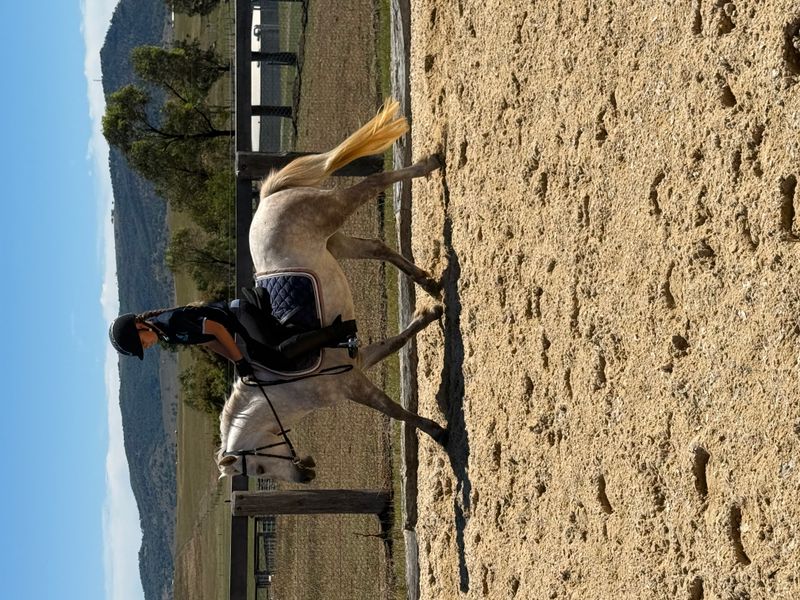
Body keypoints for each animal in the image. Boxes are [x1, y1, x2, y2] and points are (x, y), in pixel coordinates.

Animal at [216, 100, 446, 483]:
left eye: (259, 467)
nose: (306, 476)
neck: (287, 386)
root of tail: (267, 198)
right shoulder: (357, 362)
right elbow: (397, 341)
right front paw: (429, 313)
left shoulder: (352, 384)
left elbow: (396, 412)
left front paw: (438, 432)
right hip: (336, 243)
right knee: (377, 247)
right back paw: (429, 283)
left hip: (335, 210)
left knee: (375, 182)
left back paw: (431, 163)